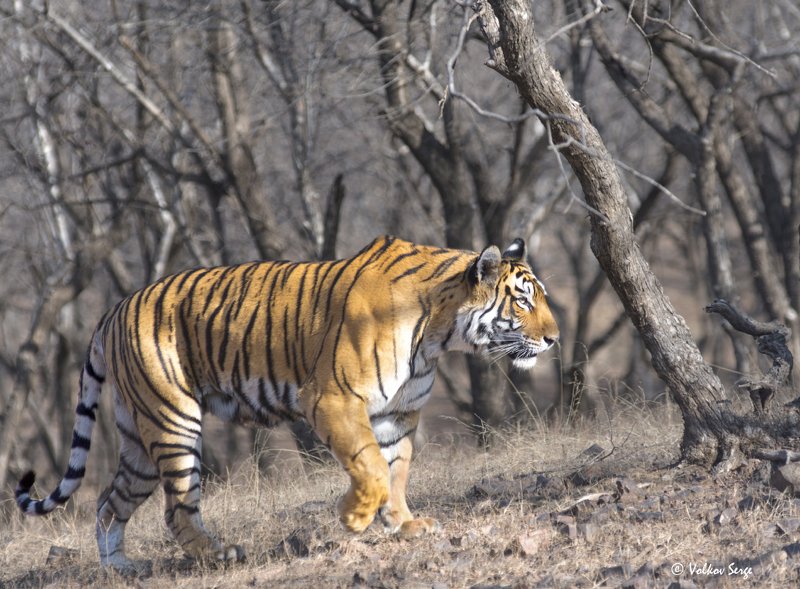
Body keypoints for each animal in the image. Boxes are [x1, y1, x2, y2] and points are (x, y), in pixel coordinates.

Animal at [16, 235, 558, 571]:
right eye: (523, 301)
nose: (554, 338)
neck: (439, 333)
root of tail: (113, 308)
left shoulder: (397, 414)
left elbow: (396, 472)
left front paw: (404, 524)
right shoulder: (333, 398)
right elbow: (371, 467)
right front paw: (354, 518)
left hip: (136, 440)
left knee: (109, 504)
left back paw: (121, 568)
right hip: (173, 422)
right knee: (175, 509)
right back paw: (218, 556)